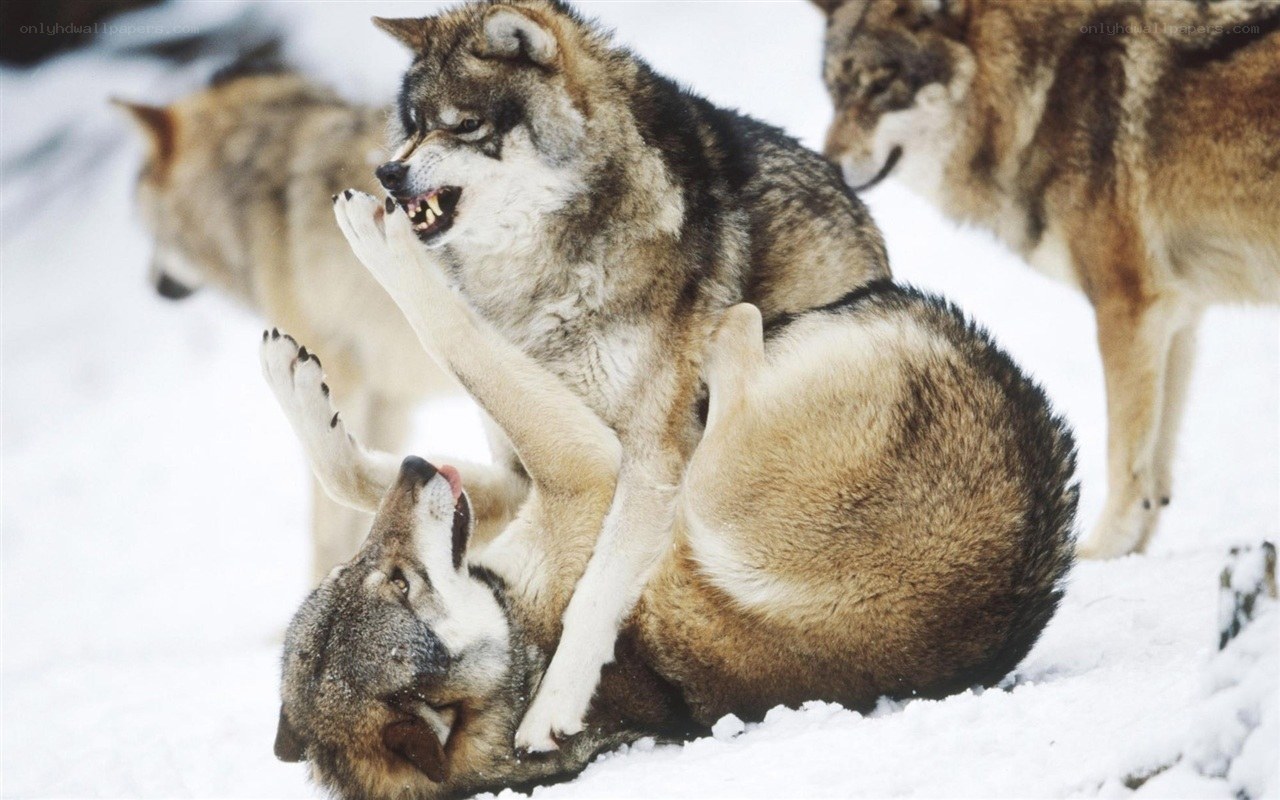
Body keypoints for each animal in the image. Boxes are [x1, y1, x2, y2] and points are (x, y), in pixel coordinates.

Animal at [260, 192, 1077, 797]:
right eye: (398, 584)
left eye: (370, 573)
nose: (416, 471)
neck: (516, 637)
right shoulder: (591, 469)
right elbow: (456, 341)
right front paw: (382, 243)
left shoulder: (549, 485)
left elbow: (355, 470)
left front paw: (299, 384)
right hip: (713, 495)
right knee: (734, 352)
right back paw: (721, 341)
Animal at [355, 0, 895, 750]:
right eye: (411, 123)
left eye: (463, 125)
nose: (387, 174)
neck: (541, 276)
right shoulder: (526, 458)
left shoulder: (650, 461)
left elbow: (592, 594)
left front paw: (549, 713)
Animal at [811, 0, 1280, 559]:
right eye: (834, 90)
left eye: (882, 86)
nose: (826, 166)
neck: (1041, 93)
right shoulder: (1178, 314)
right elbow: (1155, 471)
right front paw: (1131, 556)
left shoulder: (1127, 308)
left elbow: (1125, 459)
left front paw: (1099, 554)